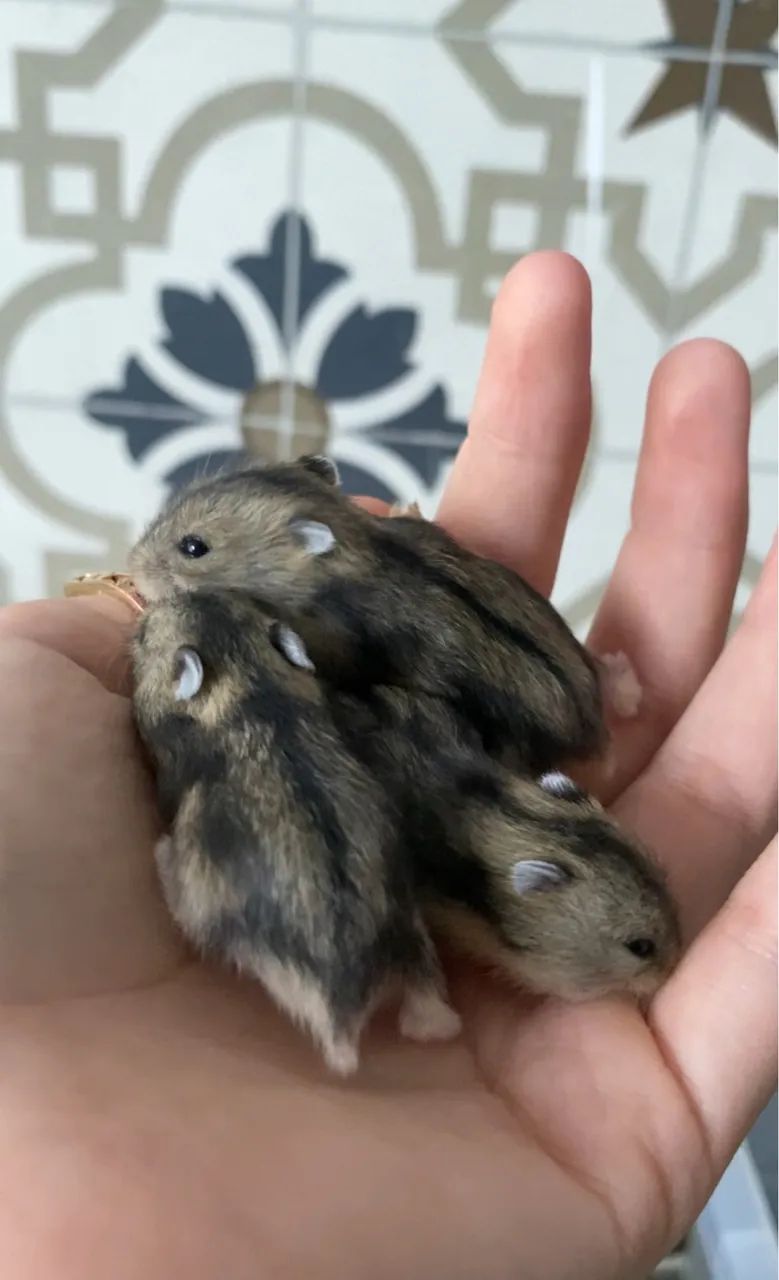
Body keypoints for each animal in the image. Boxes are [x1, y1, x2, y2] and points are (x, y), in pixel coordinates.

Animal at [131, 589, 462, 1076]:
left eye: (143, 638)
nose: (140, 619)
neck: (249, 682)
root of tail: (346, 999)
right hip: (415, 940)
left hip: (206, 905)